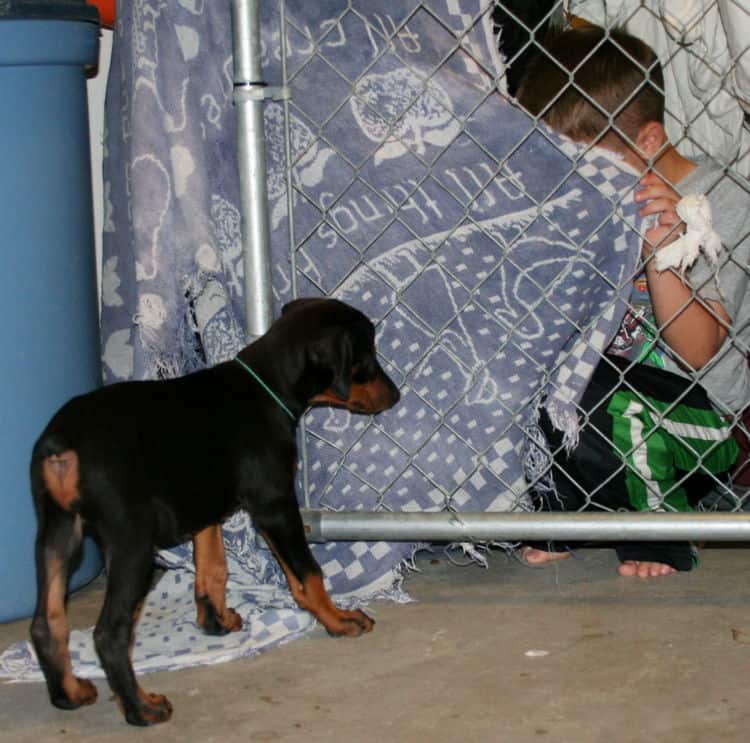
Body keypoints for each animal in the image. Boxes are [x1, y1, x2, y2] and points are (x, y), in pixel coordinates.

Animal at [30, 298, 400, 728]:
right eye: (366, 356)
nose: (396, 395)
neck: (267, 386)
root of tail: (62, 442)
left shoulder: (204, 509)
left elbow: (212, 568)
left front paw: (215, 621)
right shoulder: (274, 504)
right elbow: (308, 573)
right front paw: (338, 619)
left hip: (57, 531)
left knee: (47, 621)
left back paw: (68, 693)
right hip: (131, 541)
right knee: (110, 632)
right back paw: (141, 708)